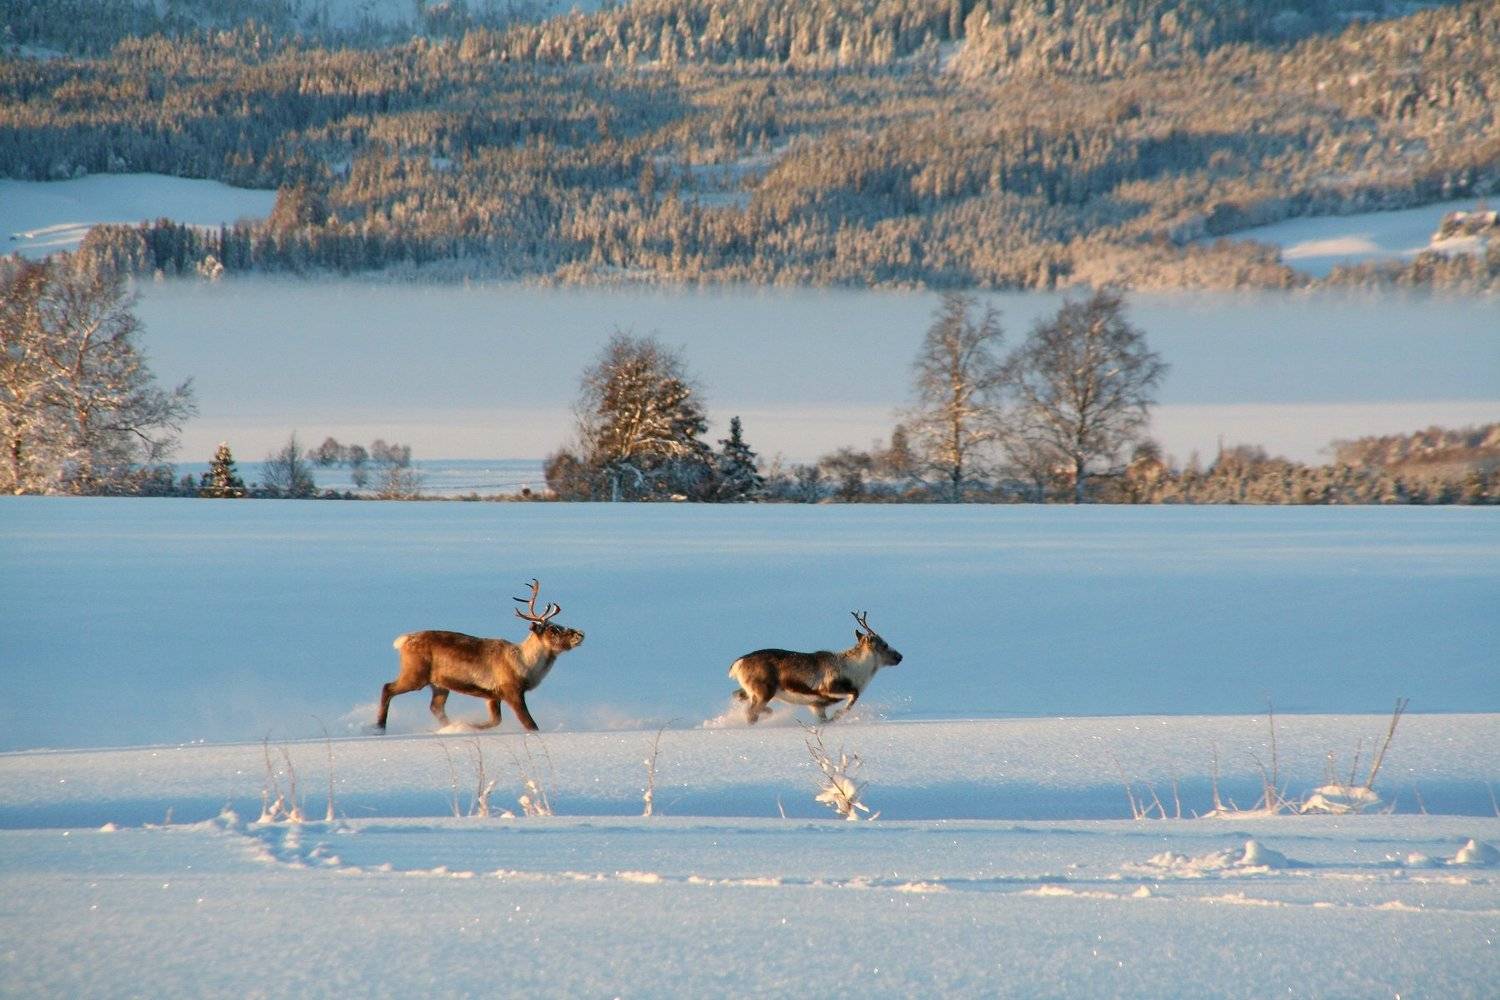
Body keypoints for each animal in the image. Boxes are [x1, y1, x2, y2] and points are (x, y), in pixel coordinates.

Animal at [375, 579, 584, 733]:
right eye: (553, 629)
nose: (580, 633)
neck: (525, 665)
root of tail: (402, 641)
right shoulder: (511, 690)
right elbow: (530, 724)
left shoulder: (492, 695)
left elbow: (495, 721)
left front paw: (469, 725)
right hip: (416, 674)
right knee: (388, 687)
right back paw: (379, 727)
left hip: (439, 684)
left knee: (436, 707)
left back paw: (451, 727)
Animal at [728, 611, 903, 724]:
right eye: (884, 644)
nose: (900, 656)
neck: (856, 671)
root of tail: (736, 665)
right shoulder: (827, 688)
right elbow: (854, 695)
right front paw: (837, 715)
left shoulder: (816, 705)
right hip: (764, 691)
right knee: (751, 713)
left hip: (752, 691)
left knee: (738, 697)